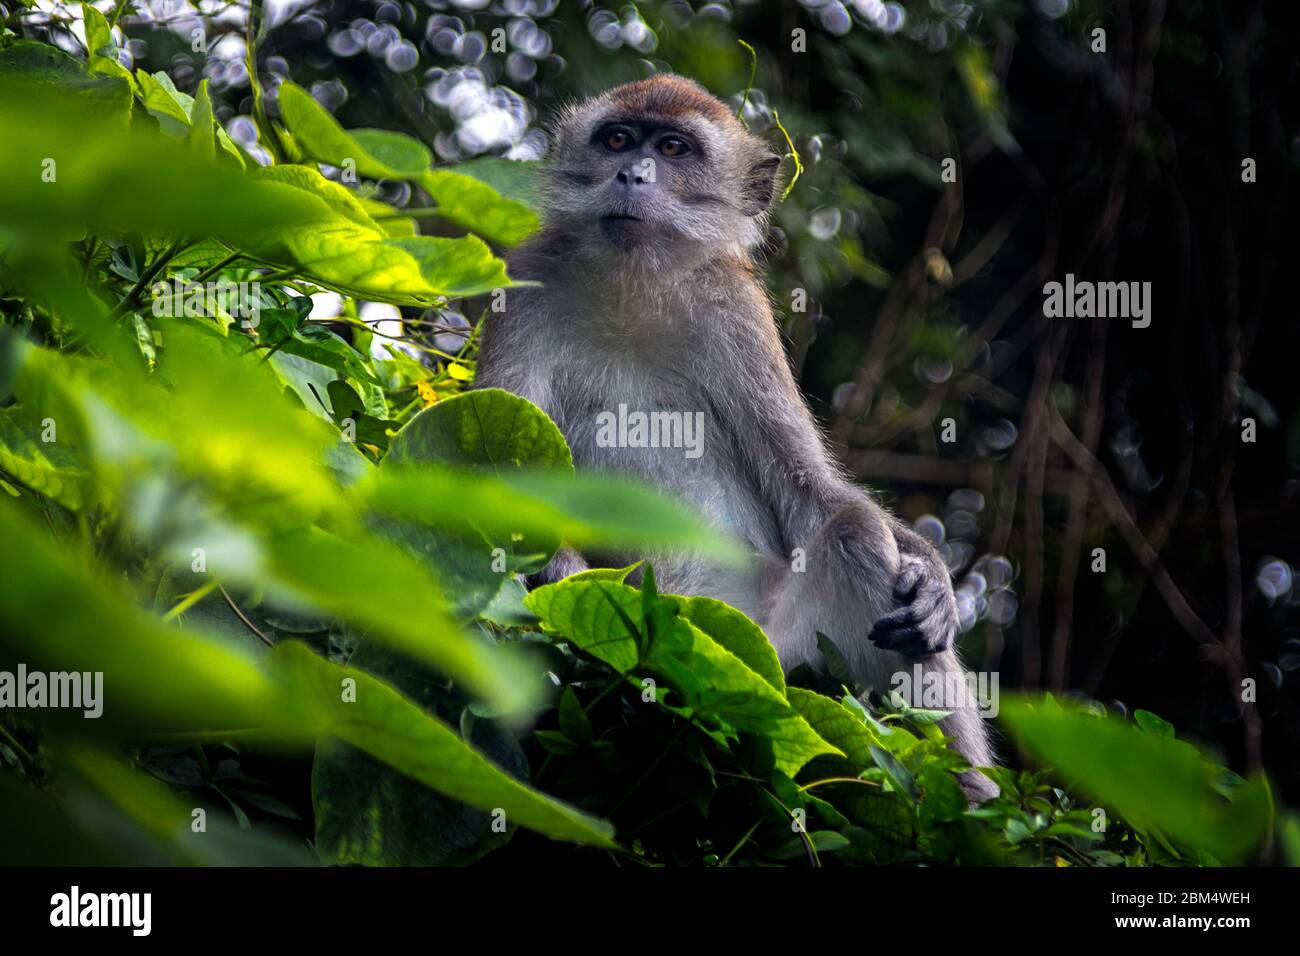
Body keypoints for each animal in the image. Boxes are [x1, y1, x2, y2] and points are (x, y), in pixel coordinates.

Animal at [475, 74, 993, 801]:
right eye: (616, 140)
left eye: (673, 148)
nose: (632, 174)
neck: (632, 286)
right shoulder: (529, 280)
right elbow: (491, 460)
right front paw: (566, 577)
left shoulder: (735, 310)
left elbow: (813, 493)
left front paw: (932, 580)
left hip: (779, 674)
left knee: (855, 532)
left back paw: (968, 803)